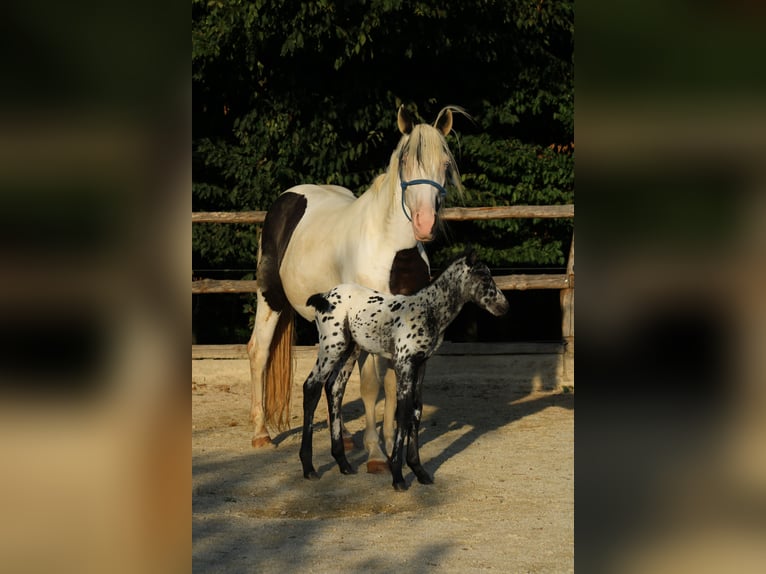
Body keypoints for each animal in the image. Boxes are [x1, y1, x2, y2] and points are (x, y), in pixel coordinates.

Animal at [247, 105, 464, 472]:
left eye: (445, 164)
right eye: (405, 161)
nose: (425, 224)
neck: (392, 249)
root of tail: (286, 200)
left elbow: (390, 384)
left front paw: (391, 447)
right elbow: (371, 384)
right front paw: (375, 454)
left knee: (330, 376)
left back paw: (345, 436)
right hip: (271, 299)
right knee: (259, 351)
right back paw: (261, 434)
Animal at [299, 249, 510, 490]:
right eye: (484, 277)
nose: (504, 307)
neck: (428, 311)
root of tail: (324, 296)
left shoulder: (421, 365)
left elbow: (415, 411)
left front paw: (420, 472)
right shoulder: (404, 363)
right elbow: (403, 411)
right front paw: (398, 477)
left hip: (349, 351)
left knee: (334, 389)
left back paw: (343, 464)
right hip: (331, 347)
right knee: (312, 387)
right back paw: (309, 468)